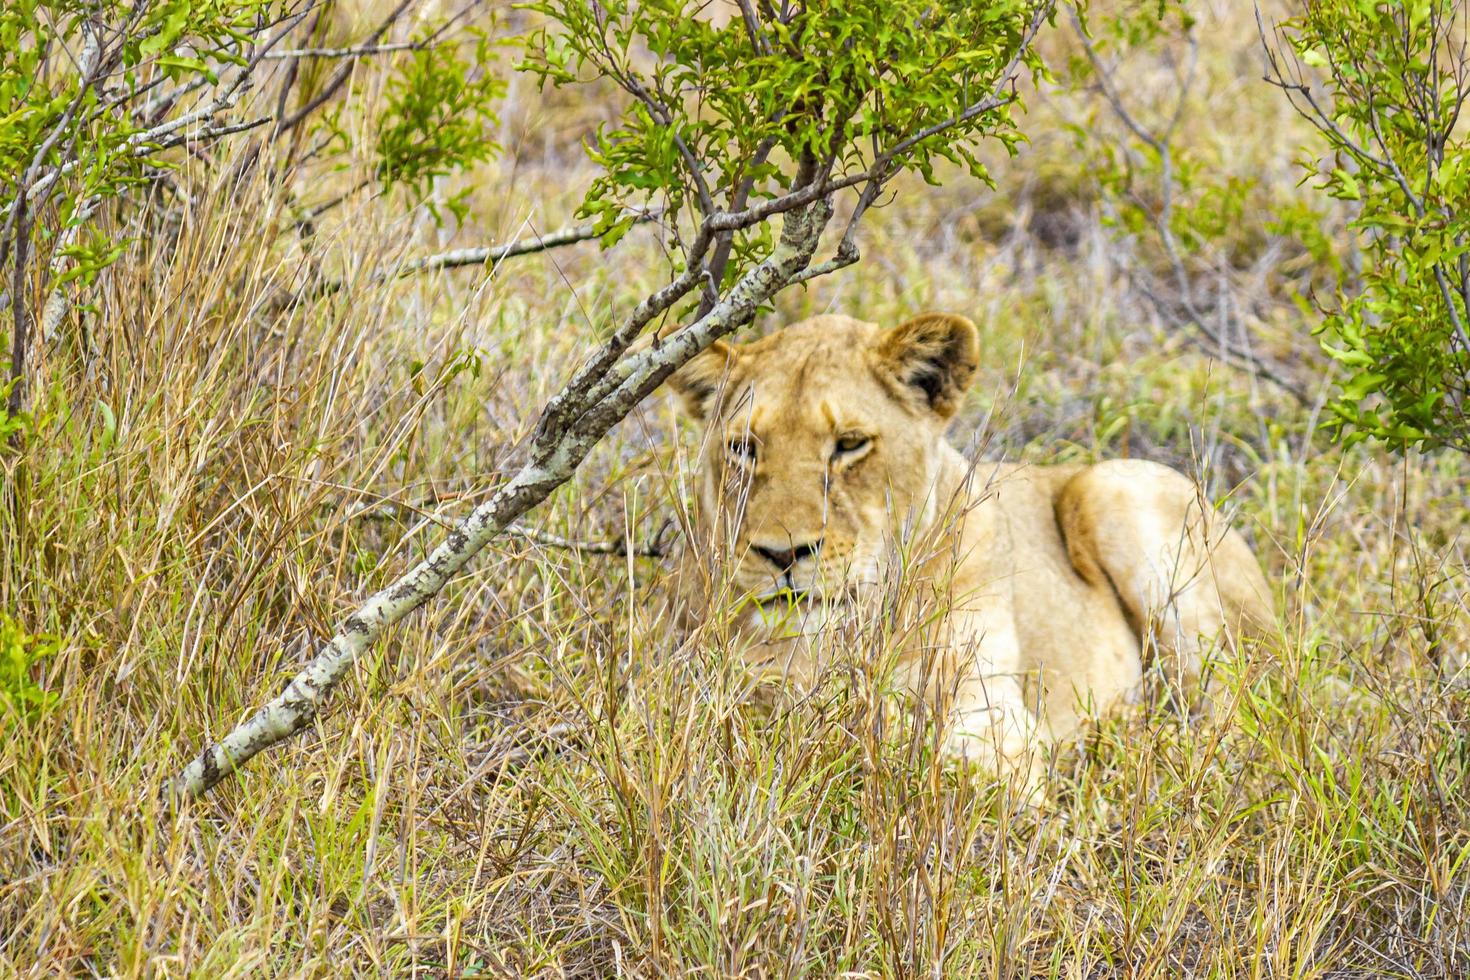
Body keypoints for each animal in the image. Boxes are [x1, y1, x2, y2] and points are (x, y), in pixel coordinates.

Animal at [667, 314, 1275, 799]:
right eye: (744, 448)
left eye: (850, 444)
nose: (781, 553)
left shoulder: (993, 719)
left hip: (1115, 489)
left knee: (1236, 714)